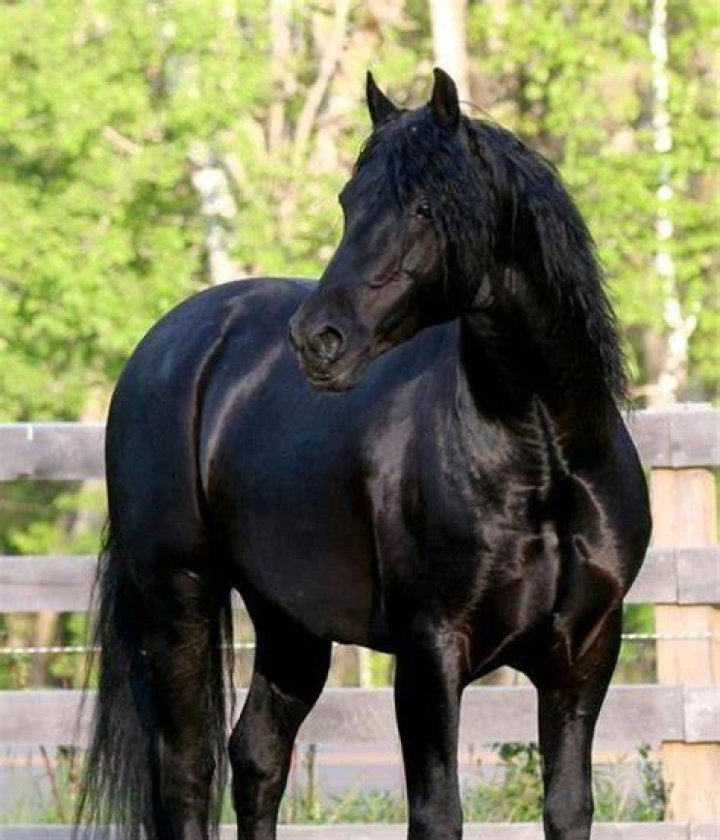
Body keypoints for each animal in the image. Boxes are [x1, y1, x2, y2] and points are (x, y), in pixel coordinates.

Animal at [77, 69, 651, 840]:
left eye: (425, 206)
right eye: (350, 202)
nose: (319, 340)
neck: (544, 459)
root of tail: (167, 346)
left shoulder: (583, 654)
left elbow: (567, 808)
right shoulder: (430, 653)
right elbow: (437, 814)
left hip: (288, 625)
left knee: (257, 756)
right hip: (178, 600)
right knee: (189, 771)